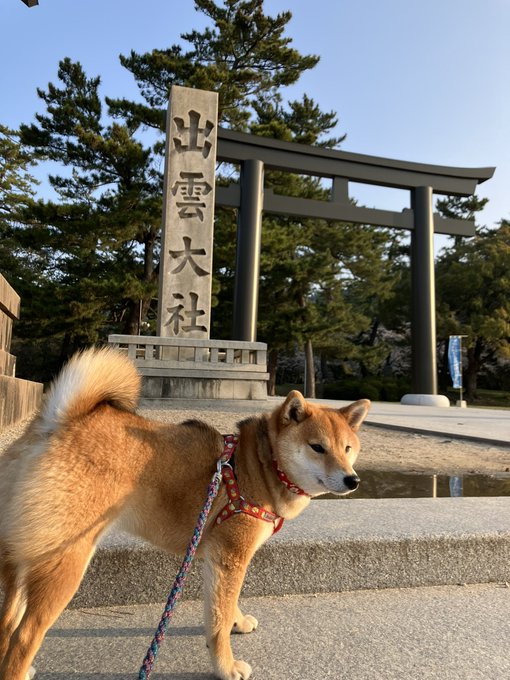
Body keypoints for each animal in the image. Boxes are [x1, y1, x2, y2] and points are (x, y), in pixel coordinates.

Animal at [0, 348, 366, 676]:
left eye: (348, 448)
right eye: (318, 448)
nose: (353, 480)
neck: (261, 465)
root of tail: (55, 423)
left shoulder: (218, 559)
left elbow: (226, 605)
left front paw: (237, 621)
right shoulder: (231, 557)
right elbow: (217, 619)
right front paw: (226, 666)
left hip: (23, 554)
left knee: (7, 623)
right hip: (65, 560)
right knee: (25, 636)